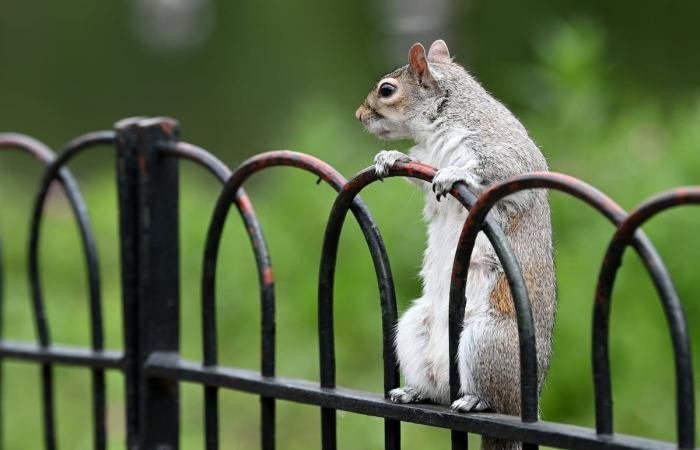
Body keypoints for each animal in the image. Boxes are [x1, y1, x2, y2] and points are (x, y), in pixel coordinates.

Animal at [356, 40, 556, 448]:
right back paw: (415, 391)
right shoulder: (425, 160)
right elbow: (416, 172)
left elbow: (499, 170)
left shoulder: (503, 150)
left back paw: (477, 401)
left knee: (492, 398)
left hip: (486, 339)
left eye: (387, 90)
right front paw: (390, 157)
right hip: (412, 330)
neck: (441, 124)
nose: (358, 115)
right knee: (437, 391)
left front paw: (455, 173)